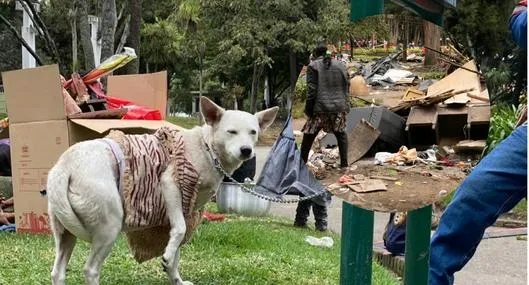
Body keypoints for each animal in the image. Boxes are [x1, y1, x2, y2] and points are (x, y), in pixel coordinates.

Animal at [46, 96, 276, 282]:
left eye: (253, 132)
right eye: (231, 132)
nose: (246, 151)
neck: (206, 148)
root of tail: (64, 166)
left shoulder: (180, 216)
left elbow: (175, 252)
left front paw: (175, 277)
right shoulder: (170, 186)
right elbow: (180, 231)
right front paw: (167, 258)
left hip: (65, 235)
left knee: (58, 272)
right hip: (108, 228)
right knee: (91, 269)